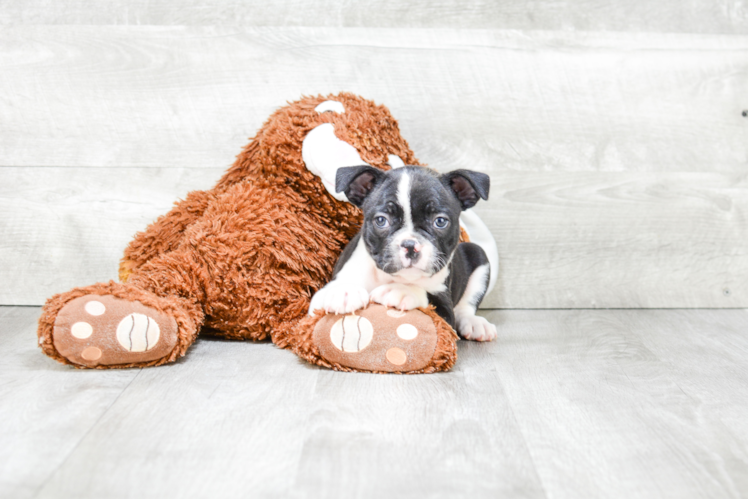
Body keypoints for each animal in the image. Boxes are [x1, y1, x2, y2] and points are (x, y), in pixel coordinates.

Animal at [310, 166, 496, 342]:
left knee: (466, 306)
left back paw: (474, 323)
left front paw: (401, 290)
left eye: (440, 221)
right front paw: (343, 291)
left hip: (478, 253)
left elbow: (427, 296)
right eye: (381, 220)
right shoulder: (316, 303)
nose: (410, 245)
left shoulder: (445, 310)